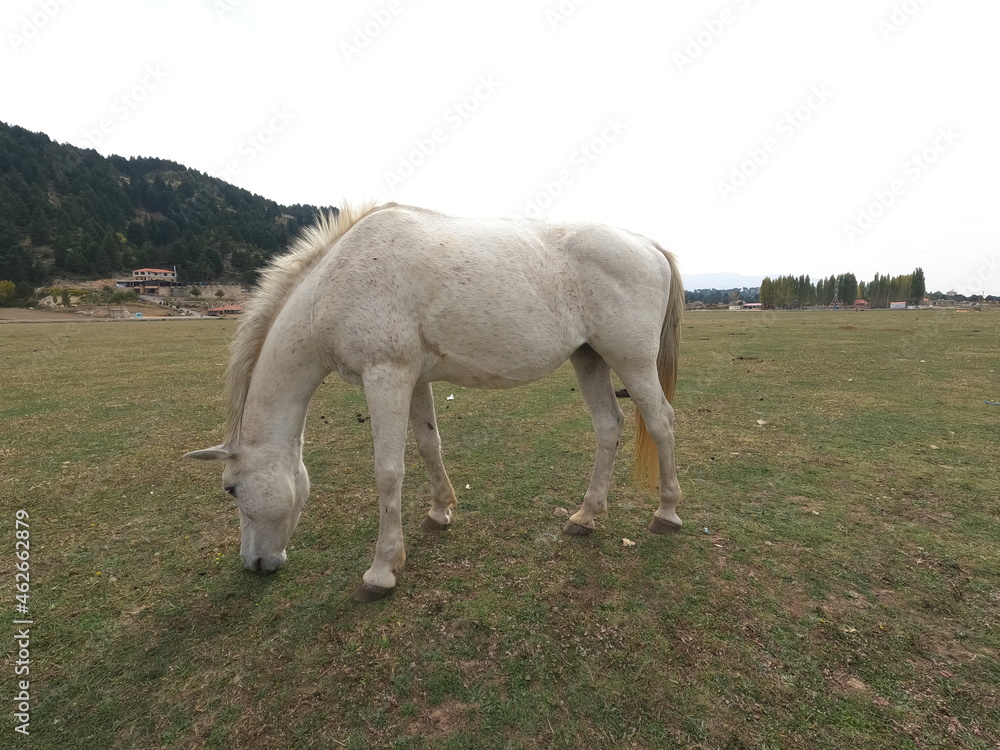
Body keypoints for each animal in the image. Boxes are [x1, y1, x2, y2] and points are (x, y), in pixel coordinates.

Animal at [186, 201, 685, 602]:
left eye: (231, 488)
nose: (254, 564)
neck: (337, 281)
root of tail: (649, 246)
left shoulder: (385, 377)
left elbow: (388, 472)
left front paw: (382, 571)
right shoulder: (413, 380)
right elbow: (429, 445)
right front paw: (440, 512)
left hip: (632, 360)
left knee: (661, 421)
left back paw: (667, 512)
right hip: (590, 358)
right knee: (608, 426)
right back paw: (586, 516)